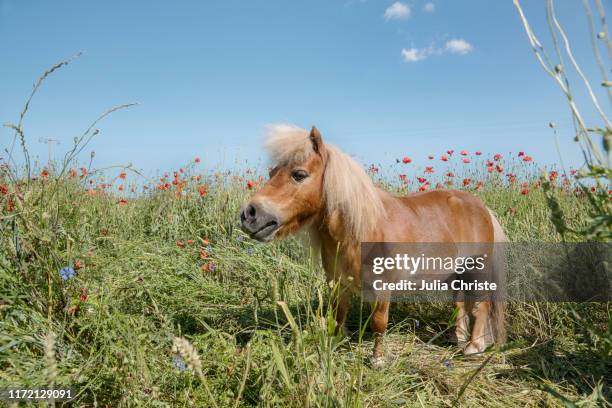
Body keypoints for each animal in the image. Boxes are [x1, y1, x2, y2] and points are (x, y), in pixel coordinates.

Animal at [239, 124, 506, 364]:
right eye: (271, 173)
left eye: (299, 174)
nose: (249, 214)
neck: (361, 232)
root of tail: (481, 207)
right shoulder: (338, 284)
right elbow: (338, 316)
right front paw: (335, 346)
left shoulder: (382, 288)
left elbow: (378, 323)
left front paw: (377, 360)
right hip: (455, 272)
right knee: (459, 303)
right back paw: (456, 338)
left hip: (477, 268)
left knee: (480, 306)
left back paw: (473, 347)